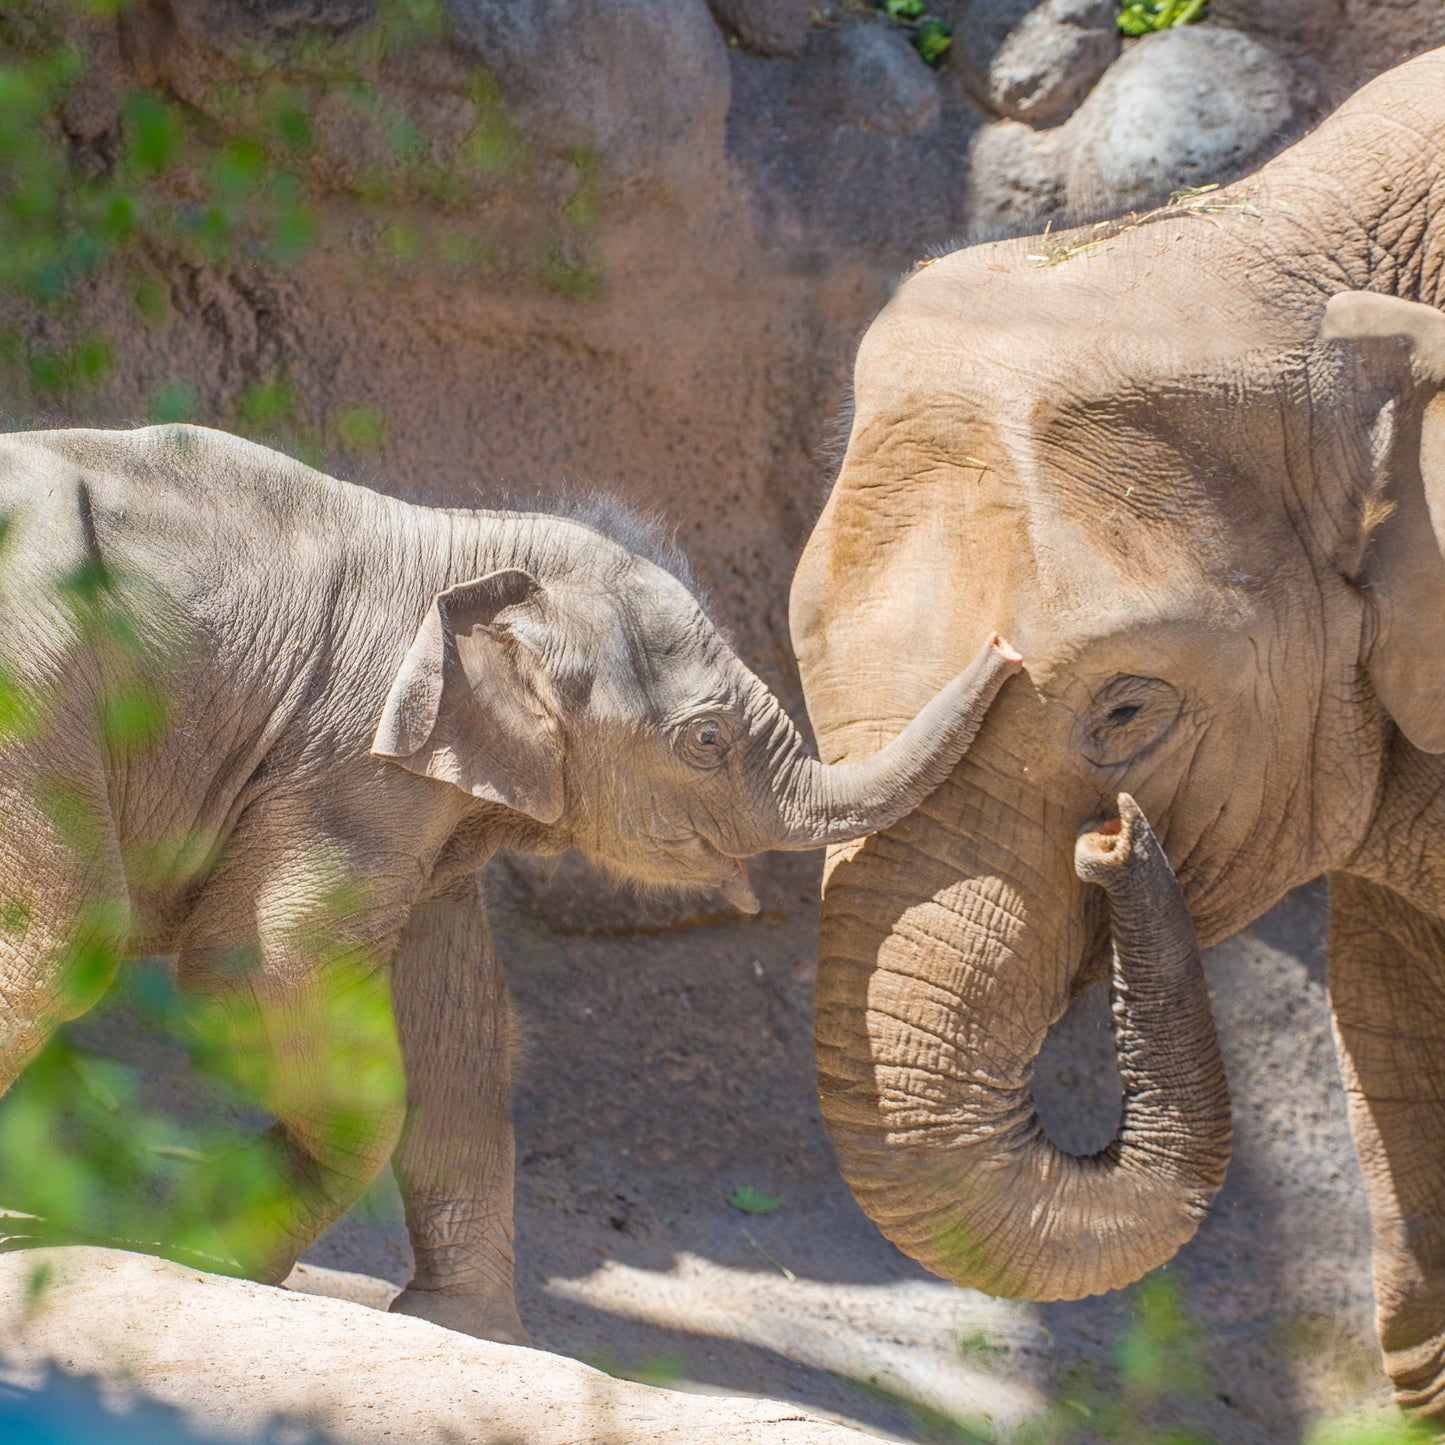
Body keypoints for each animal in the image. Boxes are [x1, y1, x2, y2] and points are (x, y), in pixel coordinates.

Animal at [0, 421, 1021, 1345]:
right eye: (706, 740)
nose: (1009, 648)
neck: (463, 539)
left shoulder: (417, 799)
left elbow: (456, 1016)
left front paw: (461, 1326)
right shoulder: (346, 767)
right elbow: (263, 965)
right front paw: (204, 1243)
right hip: (36, 685)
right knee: (61, 931)